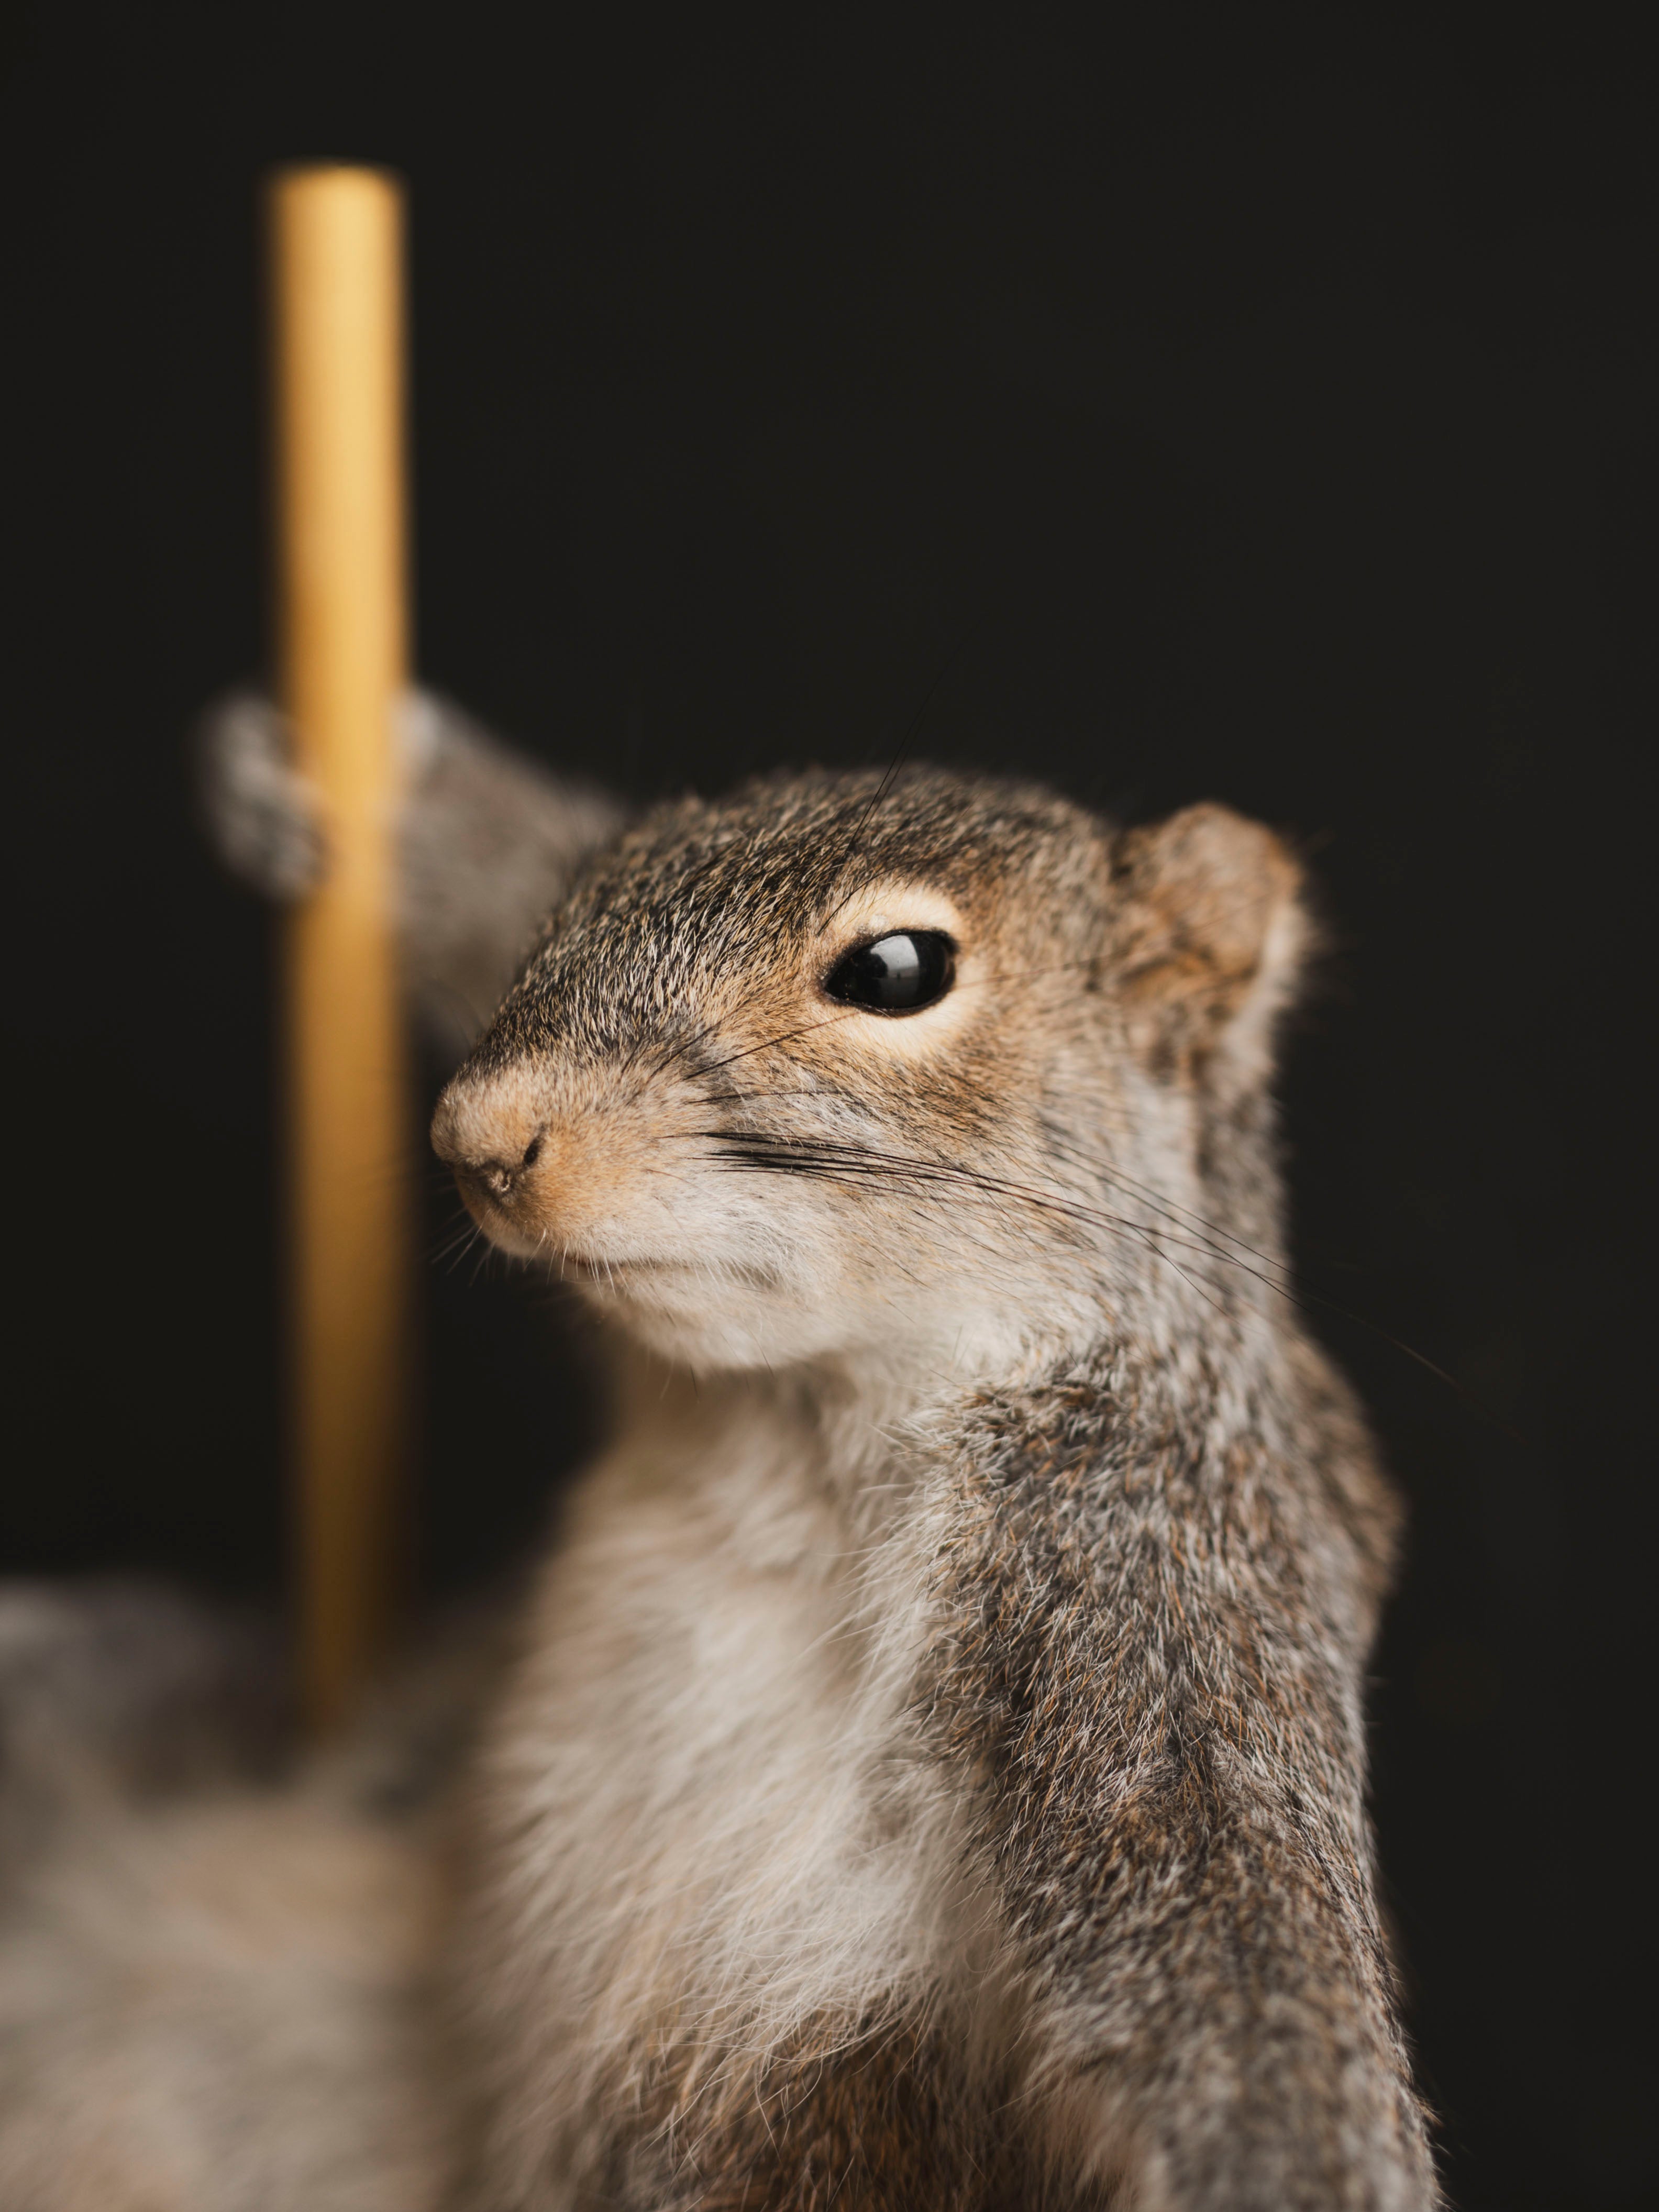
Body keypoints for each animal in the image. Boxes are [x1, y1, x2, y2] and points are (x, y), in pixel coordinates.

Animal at [0, 693, 1438, 2211]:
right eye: (583, 880)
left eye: (897, 969)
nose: (478, 1135)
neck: (800, 1421)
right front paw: (381, 786)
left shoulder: (1155, 1611)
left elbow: (1233, 1984)